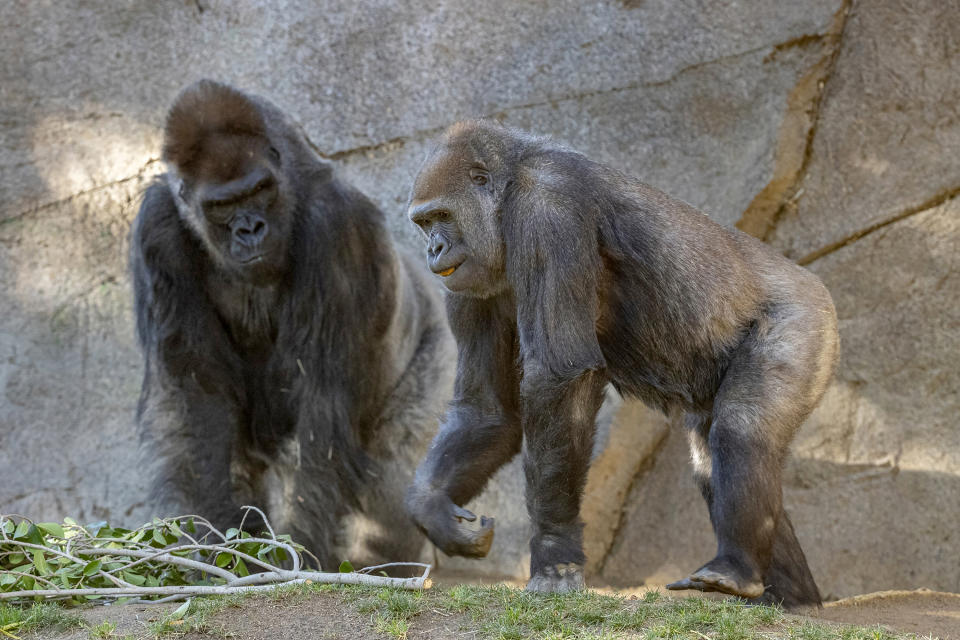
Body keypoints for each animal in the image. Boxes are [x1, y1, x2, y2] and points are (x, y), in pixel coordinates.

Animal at [132, 81, 458, 568]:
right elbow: (199, 403)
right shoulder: (157, 228)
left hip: (439, 356)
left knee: (390, 490)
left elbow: (319, 417)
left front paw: (294, 556)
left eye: (260, 189)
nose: (250, 229)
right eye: (221, 205)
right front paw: (215, 546)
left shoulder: (337, 226)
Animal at [404, 120, 840, 604]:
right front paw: (432, 506)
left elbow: (559, 377)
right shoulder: (466, 285)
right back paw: (789, 594)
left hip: (805, 319)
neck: (508, 188)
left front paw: (555, 549)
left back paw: (738, 567)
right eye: (424, 223)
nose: (434, 249)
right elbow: (488, 411)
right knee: (713, 456)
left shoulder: (547, 208)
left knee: (742, 428)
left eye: (442, 217)